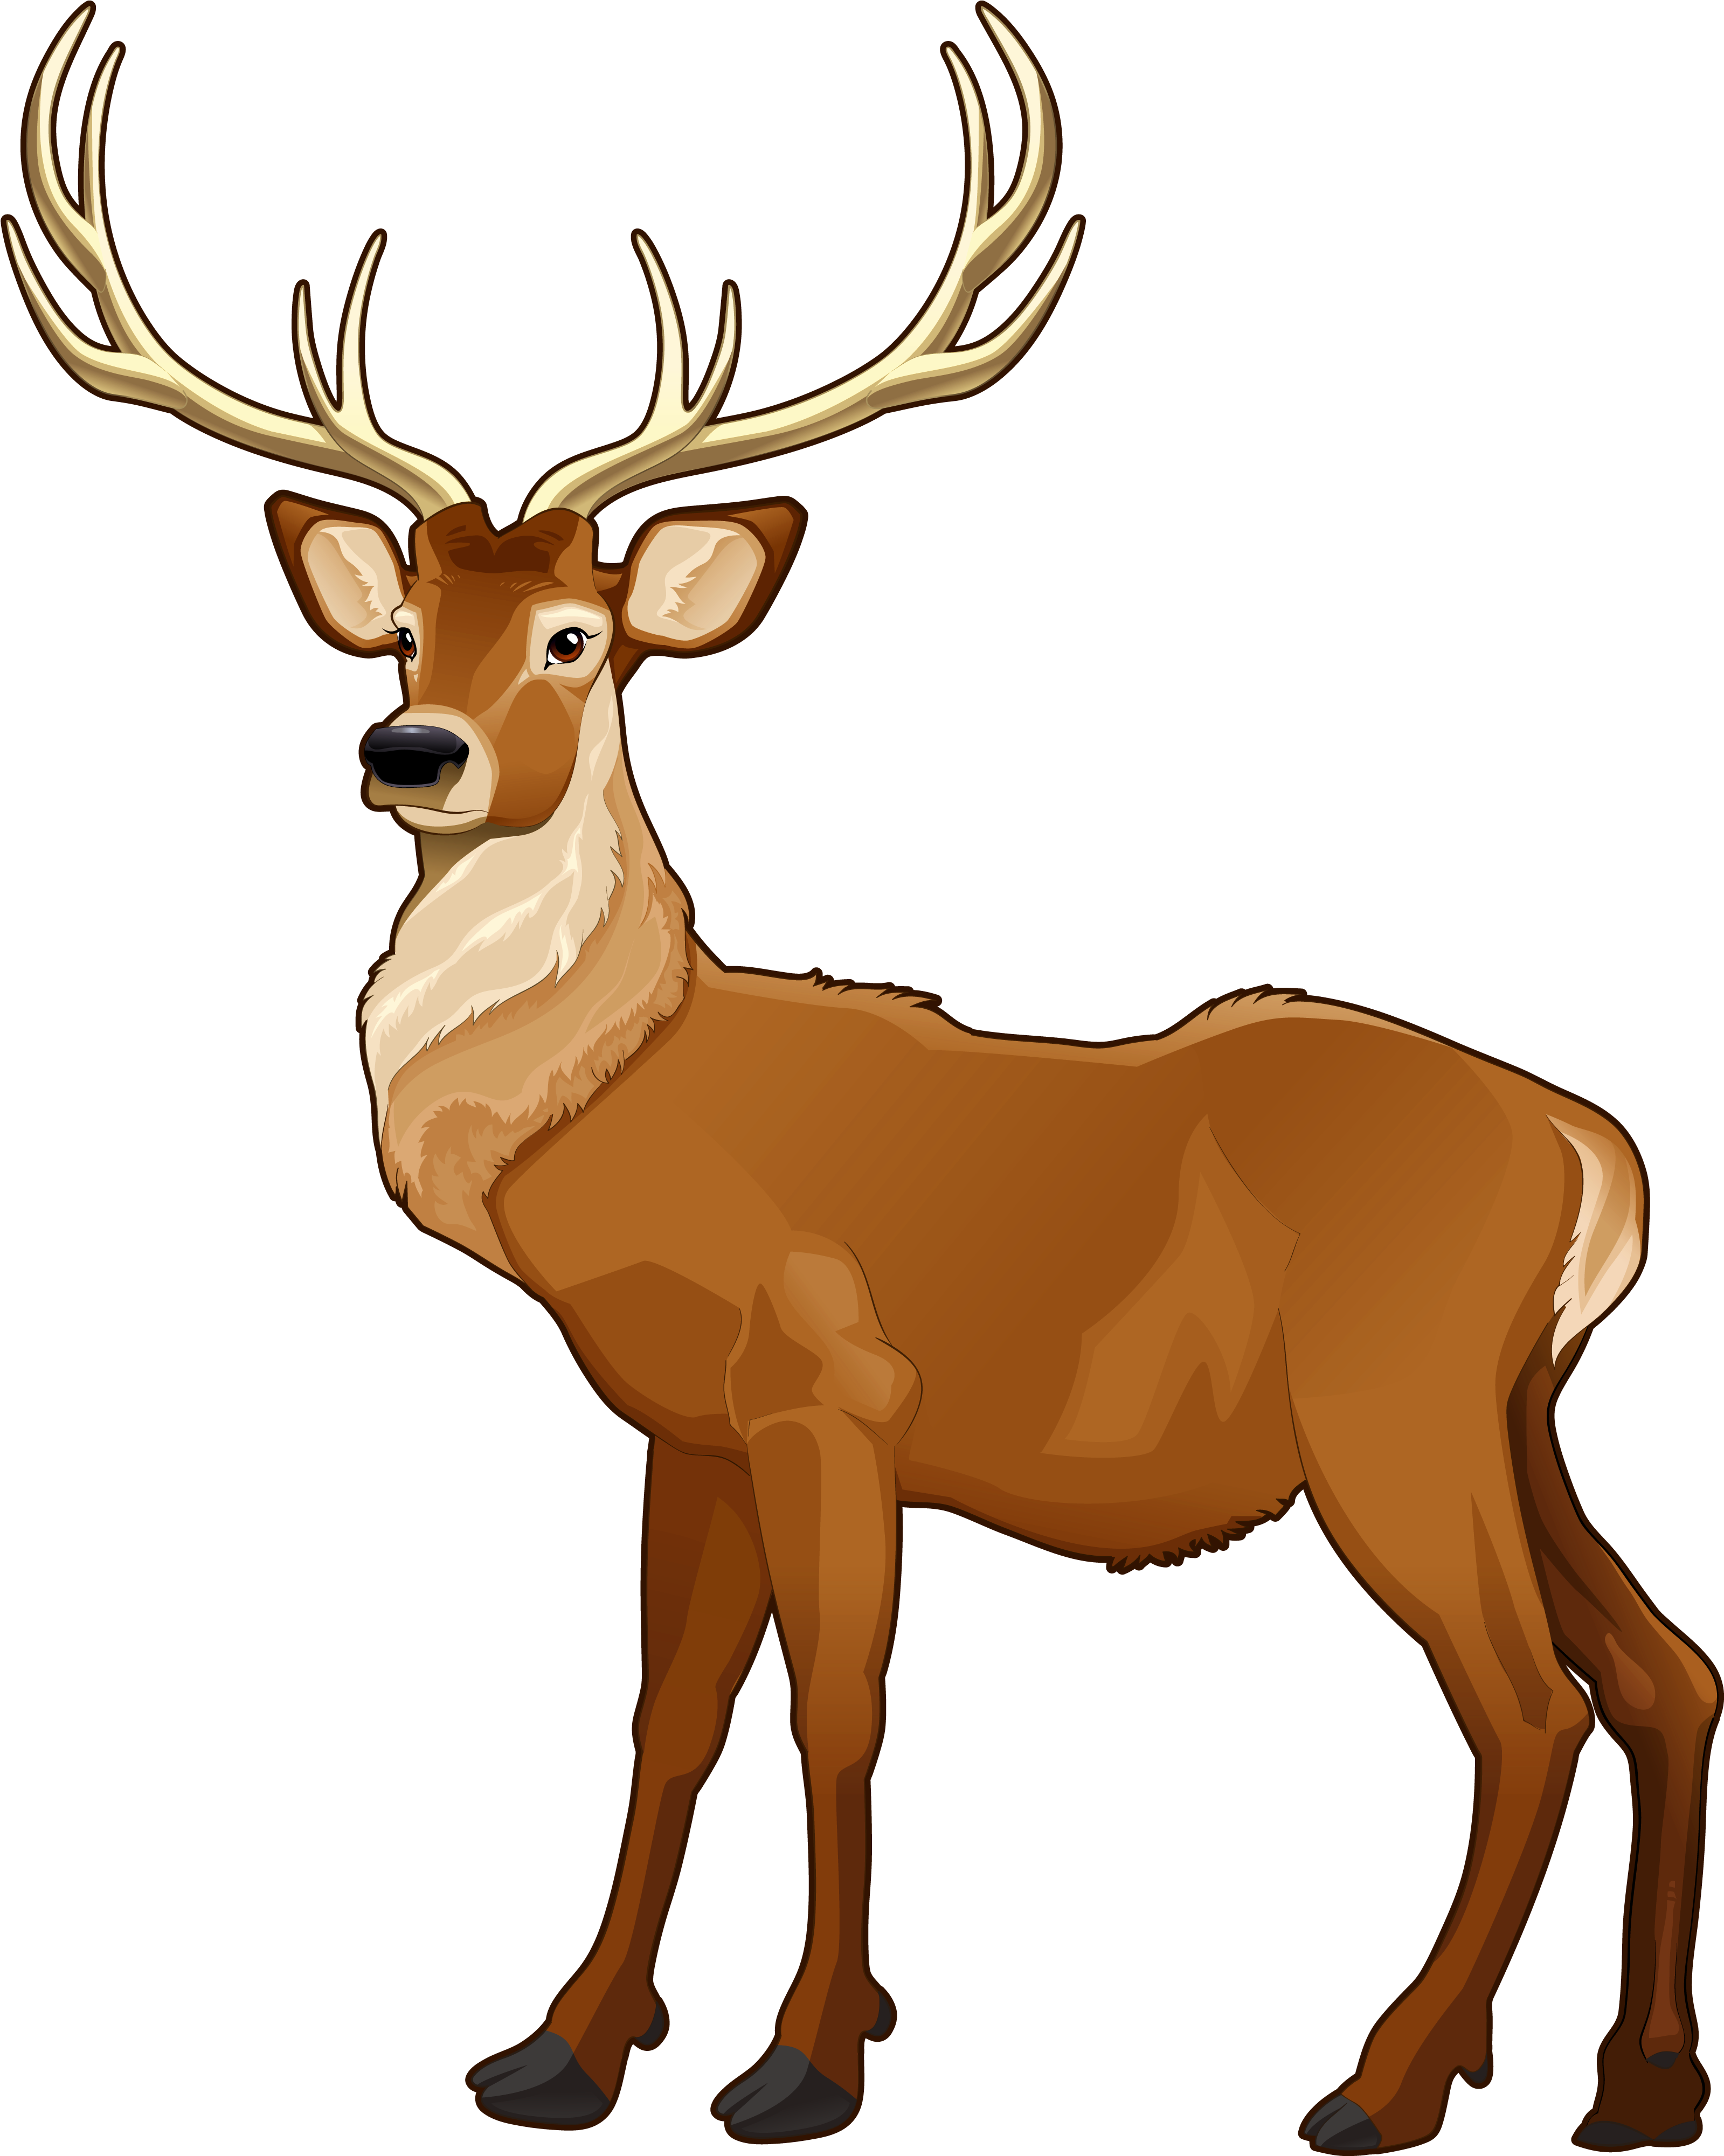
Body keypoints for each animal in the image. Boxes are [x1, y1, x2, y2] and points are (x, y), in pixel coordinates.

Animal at [9, 5, 1713, 2148]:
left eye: (574, 635)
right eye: (402, 622)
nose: (412, 752)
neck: (609, 1118)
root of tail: (1586, 1147)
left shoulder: (832, 1379)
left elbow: (838, 1706)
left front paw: (806, 2059)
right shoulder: (684, 1422)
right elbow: (669, 1711)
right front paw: (566, 2045)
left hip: (1388, 1397)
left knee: (1527, 1698)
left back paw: (1386, 2079)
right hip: (1518, 1401)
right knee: (1661, 1671)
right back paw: (1633, 2080)